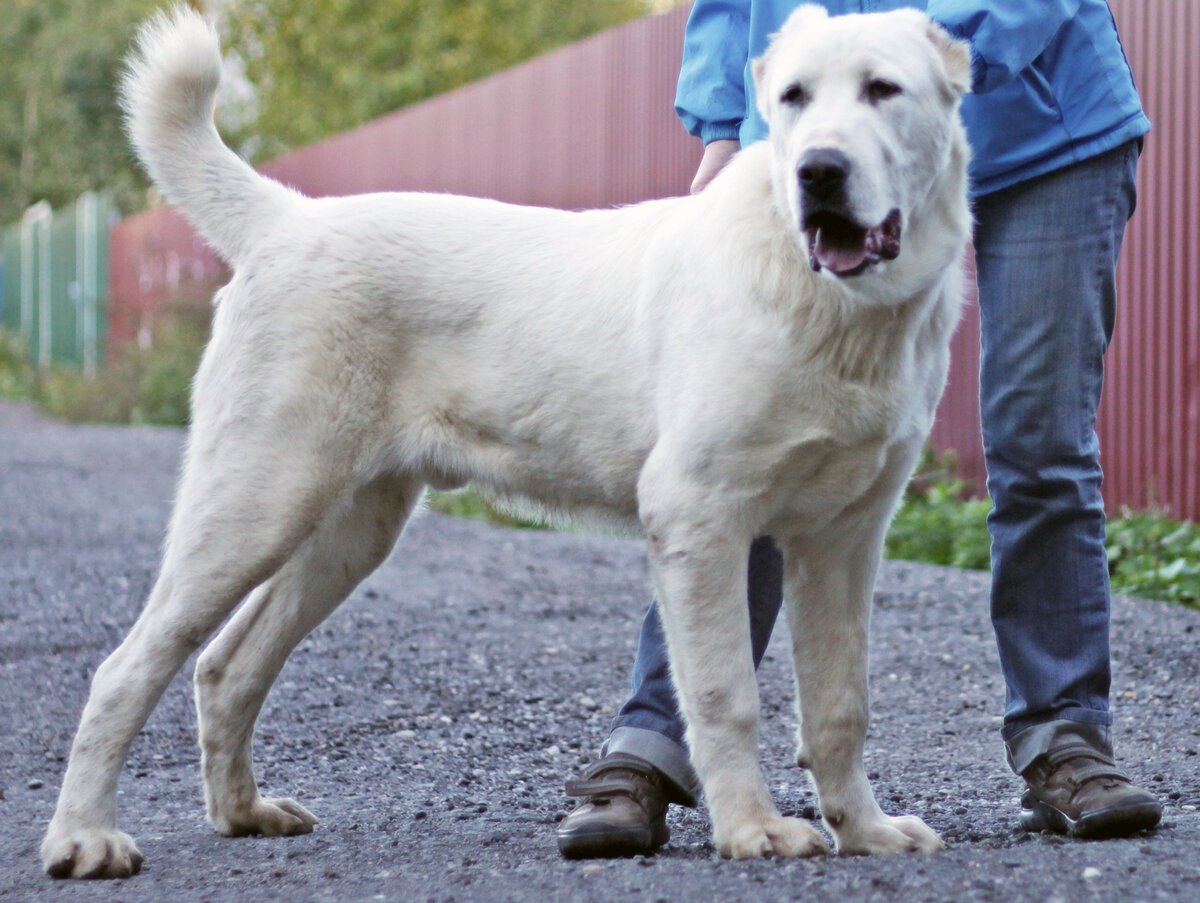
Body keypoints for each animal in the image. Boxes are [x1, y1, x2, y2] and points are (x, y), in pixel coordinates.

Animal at [42, 3, 969, 878]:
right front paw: (753, 830)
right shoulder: (700, 519)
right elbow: (723, 691)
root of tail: (288, 220)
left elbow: (841, 705)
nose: (819, 170)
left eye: (883, 90)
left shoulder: (842, 540)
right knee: (126, 668)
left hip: (348, 529)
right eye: (793, 100)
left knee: (227, 665)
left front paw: (867, 831)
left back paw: (243, 813)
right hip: (256, 502)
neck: (838, 311)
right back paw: (84, 838)